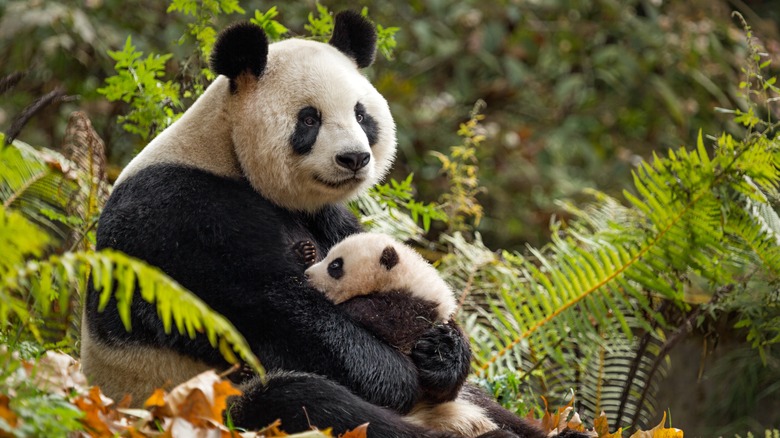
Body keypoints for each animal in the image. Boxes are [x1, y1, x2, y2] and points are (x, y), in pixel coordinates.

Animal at [82, 12, 472, 436]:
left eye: (361, 114)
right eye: (309, 118)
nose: (354, 158)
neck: (225, 152)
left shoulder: (325, 216)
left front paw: (443, 354)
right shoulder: (181, 219)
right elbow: (271, 315)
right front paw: (399, 375)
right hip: (194, 403)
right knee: (305, 400)